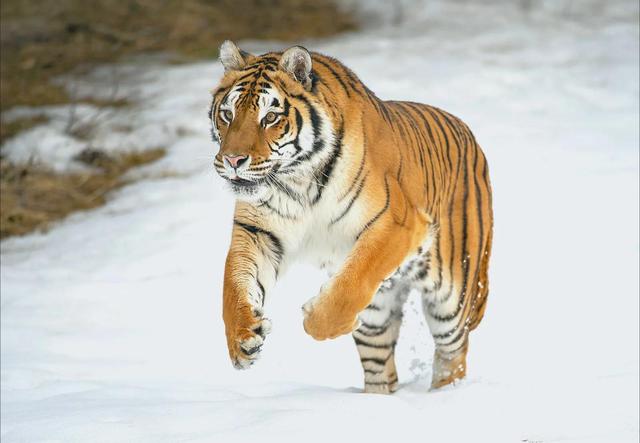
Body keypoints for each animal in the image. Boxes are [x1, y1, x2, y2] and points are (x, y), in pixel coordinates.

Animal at [210, 41, 496, 394]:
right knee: (380, 365)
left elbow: (352, 282)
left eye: (271, 117)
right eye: (227, 114)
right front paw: (242, 340)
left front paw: (313, 319)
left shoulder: (396, 223)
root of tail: (470, 134)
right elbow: (234, 285)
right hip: (377, 315)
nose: (232, 160)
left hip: (453, 297)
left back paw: (445, 393)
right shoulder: (257, 232)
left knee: (452, 353)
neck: (298, 181)